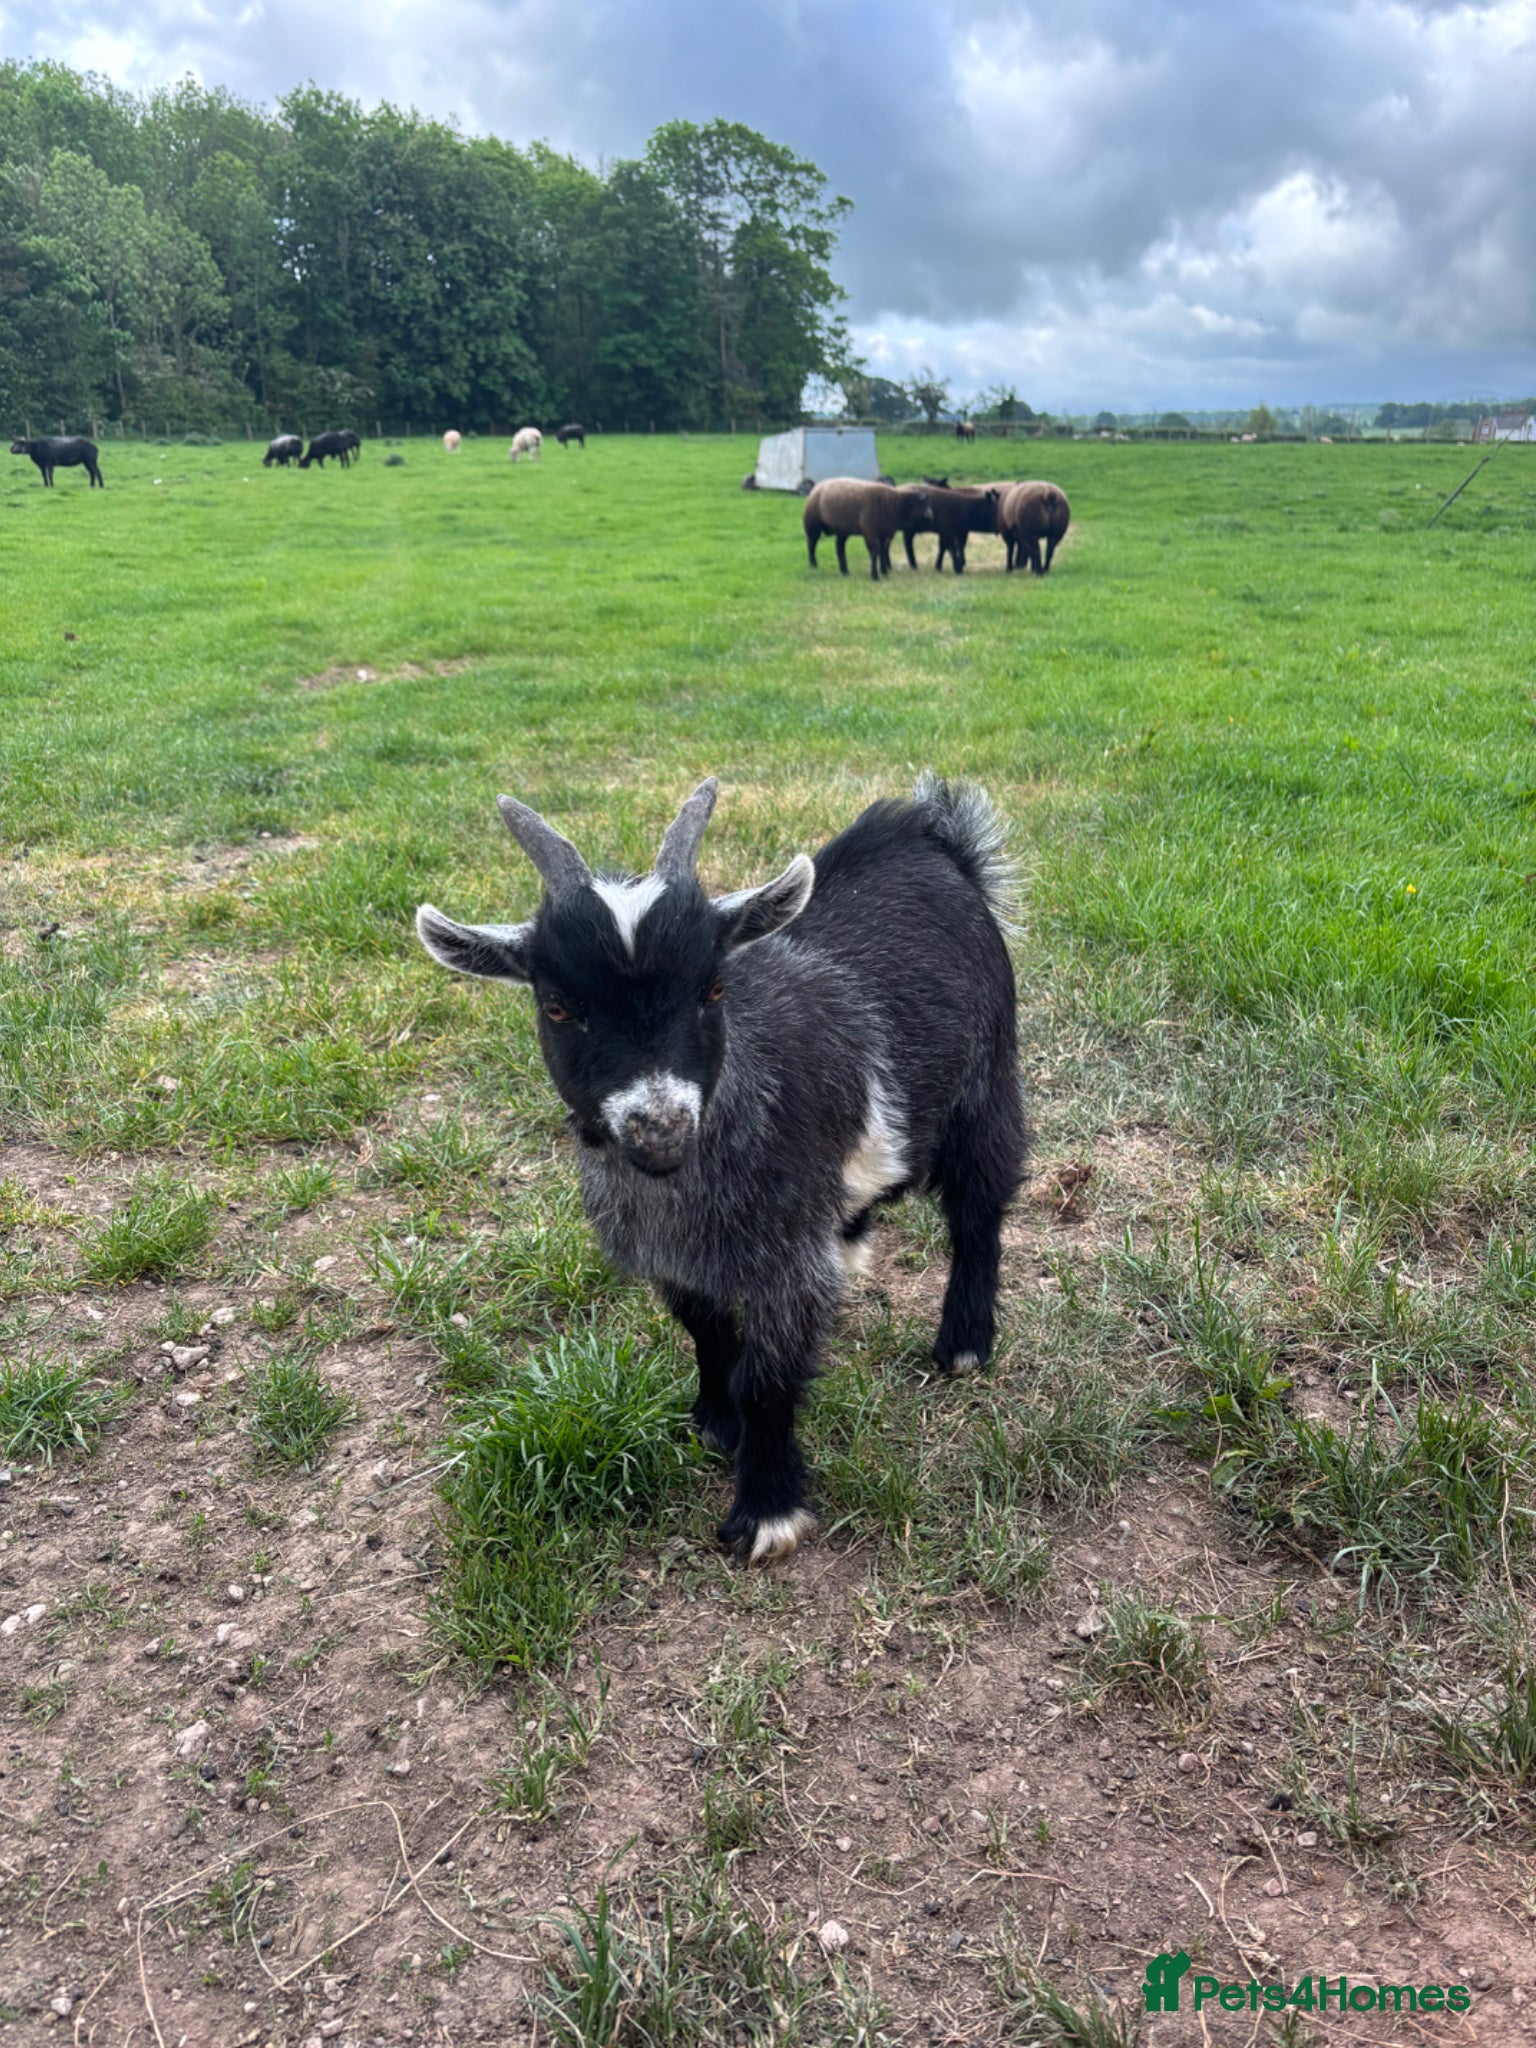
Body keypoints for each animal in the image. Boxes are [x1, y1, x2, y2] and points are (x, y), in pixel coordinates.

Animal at [416, 777, 1026, 1563]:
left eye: (711, 988)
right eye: (557, 1007)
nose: (660, 1128)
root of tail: (930, 837)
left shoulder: (784, 1263)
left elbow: (771, 1377)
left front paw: (766, 1511)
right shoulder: (676, 1257)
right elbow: (704, 1329)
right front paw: (714, 1418)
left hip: (988, 1083)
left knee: (980, 1209)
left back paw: (965, 1344)